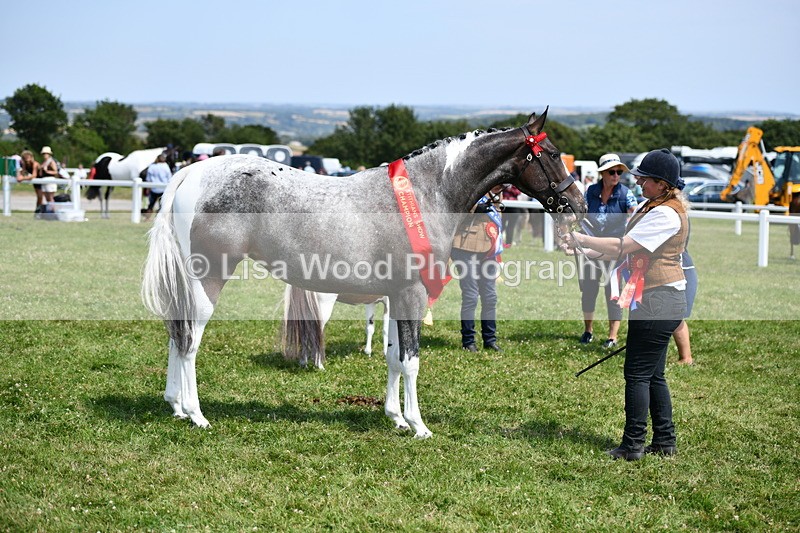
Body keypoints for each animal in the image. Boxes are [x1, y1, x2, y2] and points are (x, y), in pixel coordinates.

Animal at [141, 110, 585, 438]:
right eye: (551, 154)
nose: (578, 203)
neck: (427, 192)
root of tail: (192, 174)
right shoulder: (412, 294)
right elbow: (411, 360)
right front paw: (419, 425)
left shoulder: (393, 296)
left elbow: (391, 356)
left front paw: (396, 417)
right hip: (209, 277)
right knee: (190, 338)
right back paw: (196, 413)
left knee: (176, 333)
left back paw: (176, 406)